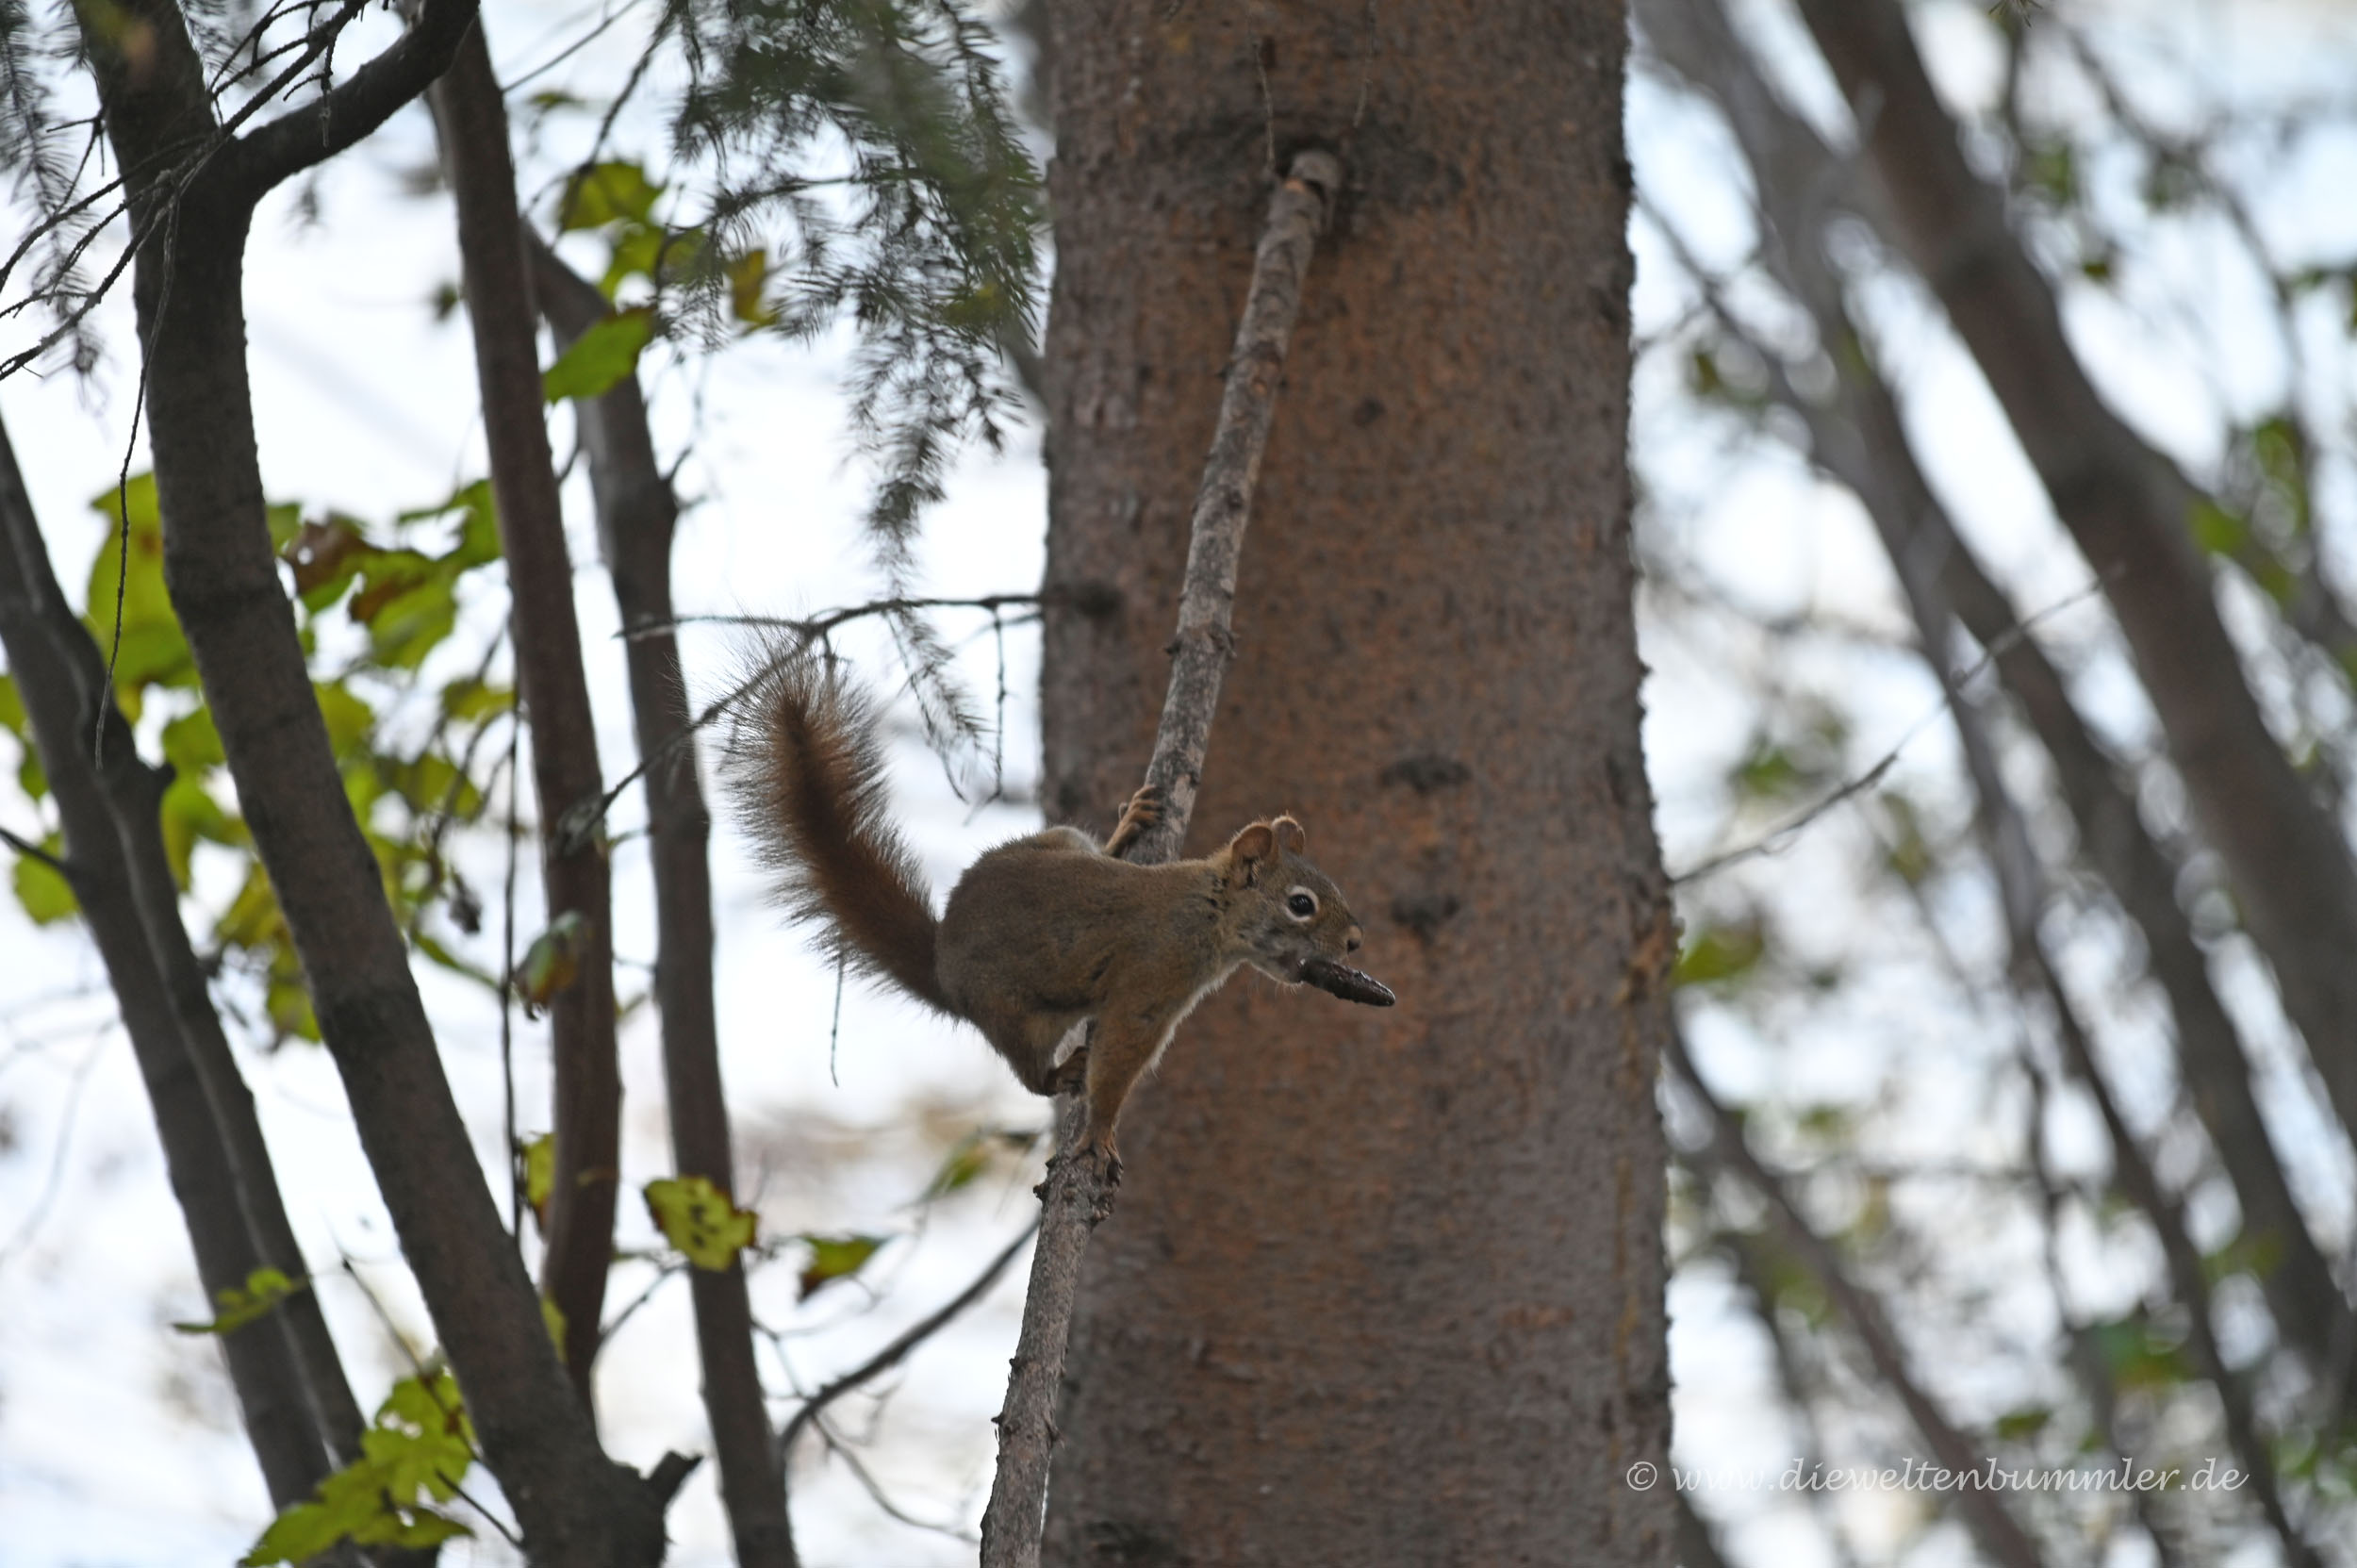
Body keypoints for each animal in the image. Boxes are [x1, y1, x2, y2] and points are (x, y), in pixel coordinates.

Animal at [727, 653, 1375, 1162]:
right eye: (1300, 905)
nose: (1354, 943)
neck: (1208, 911)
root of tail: (942, 964)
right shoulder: (1151, 982)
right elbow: (1117, 1059)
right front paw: (1101, 1133)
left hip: (1060, 840)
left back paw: (1126, 828)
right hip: (1015, 1016)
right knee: (1033, 1078)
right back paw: (1060, 1072)